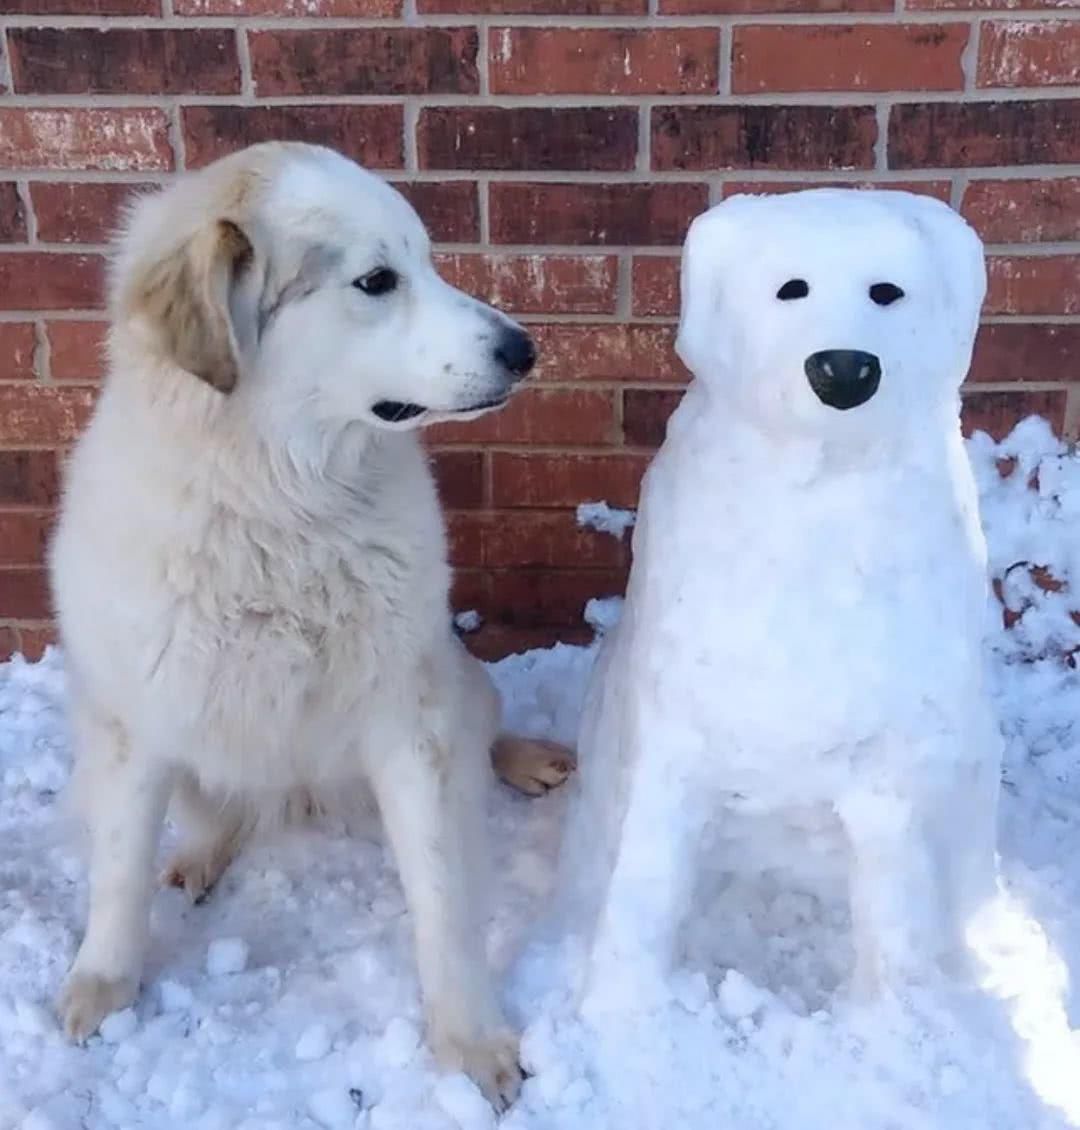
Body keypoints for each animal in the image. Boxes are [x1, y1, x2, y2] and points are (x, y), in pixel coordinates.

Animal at [48, 138, 573, 1102]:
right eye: (376, 281)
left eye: (429, 261)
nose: (525, 349)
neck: (282, 502)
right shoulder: (135, 724)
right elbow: (117, 872)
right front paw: (103, 984)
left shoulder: (410, 722)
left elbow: (442, 896)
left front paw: (468, 1039)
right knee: (214, 816)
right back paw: (197, 859)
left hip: (455, 678)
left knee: (485, 730)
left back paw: (527, 759)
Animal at [564, 189, 1003, 1012]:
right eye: (791, 289)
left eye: (886, 292)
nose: (845, 368)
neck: (817, 492)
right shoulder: (674, 748)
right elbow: (645, 885)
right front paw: (619, 1012)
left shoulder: (888, 776)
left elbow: (893, 901)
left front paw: (891, 1018)